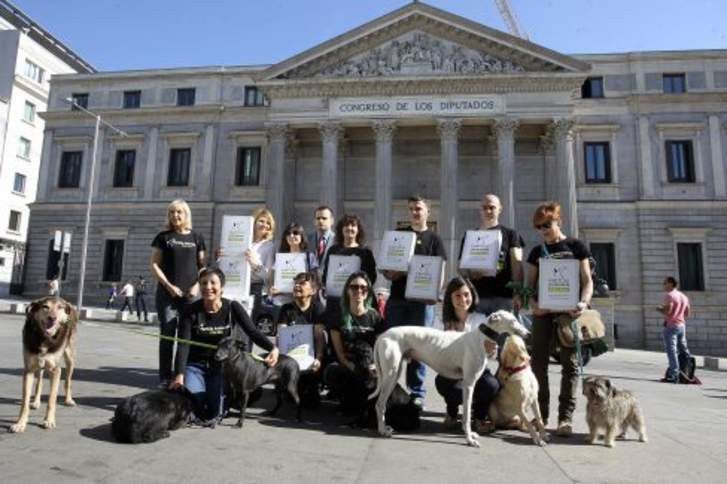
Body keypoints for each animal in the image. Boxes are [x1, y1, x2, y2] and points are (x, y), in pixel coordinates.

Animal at [8, 296, 77, 432]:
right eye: (45, 307)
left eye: (60, 307)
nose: (52, 318)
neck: (45, 338)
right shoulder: (29, 369)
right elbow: (25, 401)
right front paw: (20, 423)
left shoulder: (55, 370)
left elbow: (51, 399)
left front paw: (49, 421)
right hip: (39, 365)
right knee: (39, 382)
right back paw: (36, 402)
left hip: (70, 358)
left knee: (68, 381)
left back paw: (68, 400)